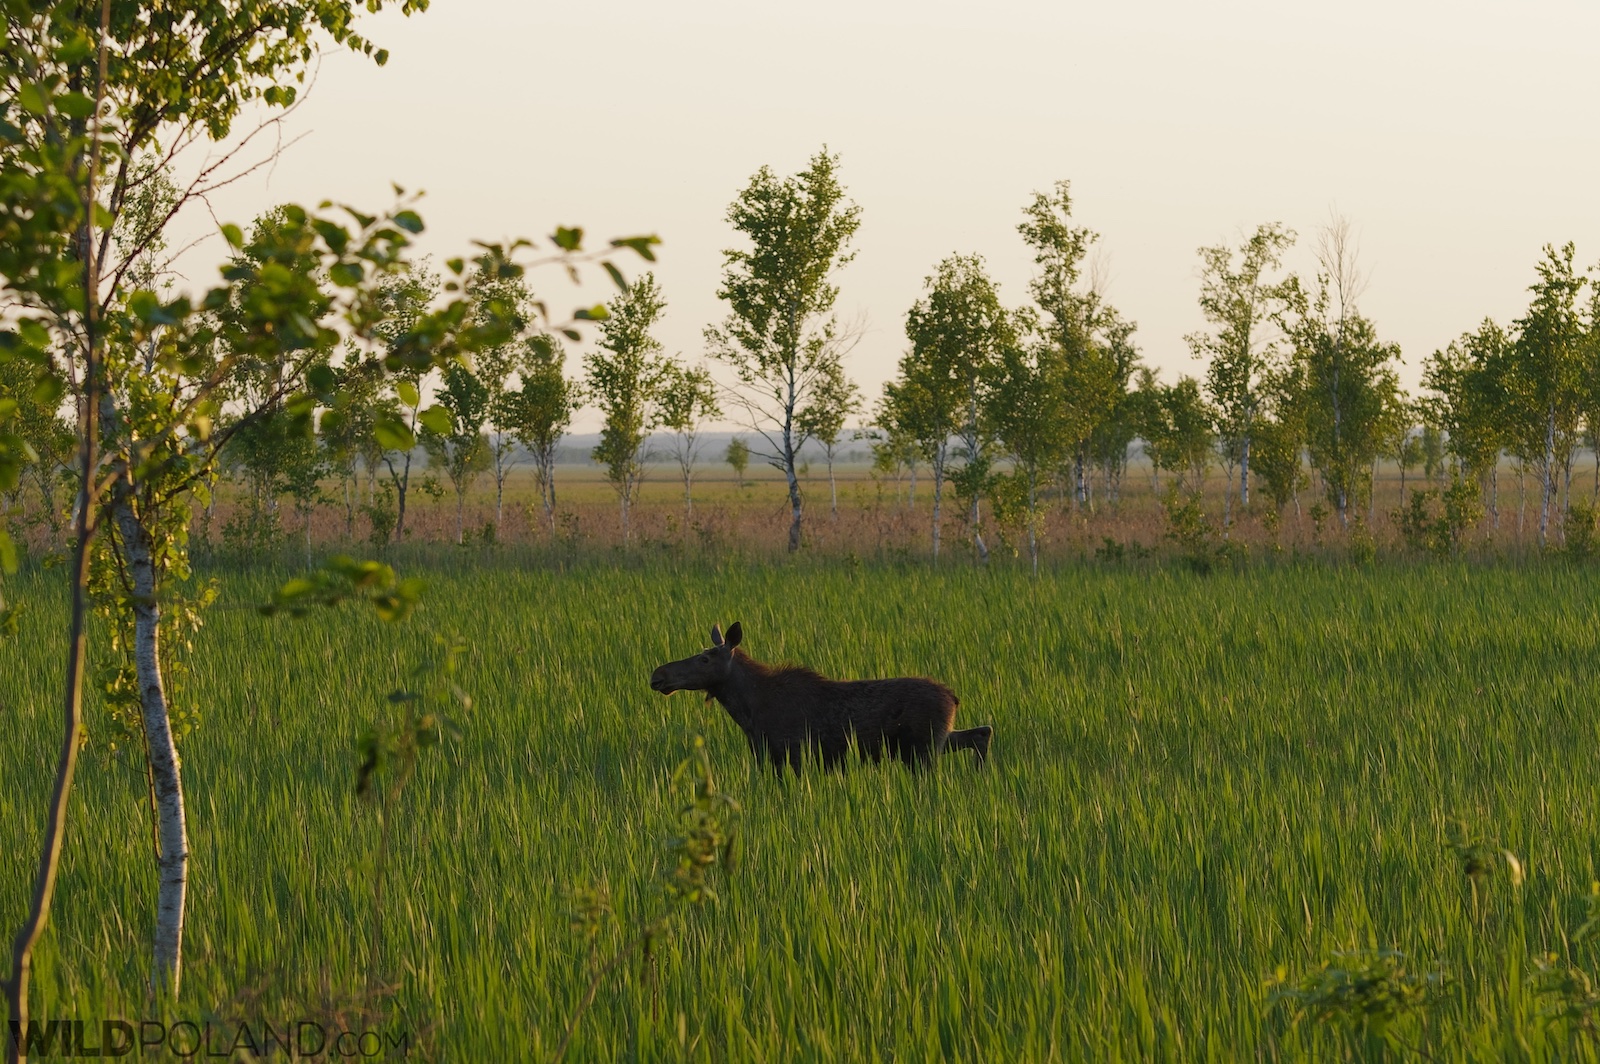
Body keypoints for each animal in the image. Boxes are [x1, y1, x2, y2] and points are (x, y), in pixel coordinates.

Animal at [646, 617, 985, 768]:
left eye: (705, 658)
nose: (658, 675)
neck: (747, 711)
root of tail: (954, 697)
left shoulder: (793, 753)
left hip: (922, 750)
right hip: (935, 740)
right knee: (981, 732)